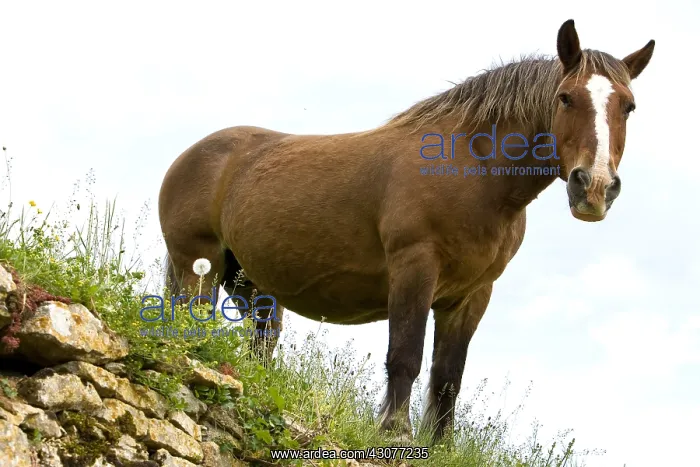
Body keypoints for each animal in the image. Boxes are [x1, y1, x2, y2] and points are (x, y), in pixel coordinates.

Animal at [158, 19, 654, 443]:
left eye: (628, 106)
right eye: (566, 97)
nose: (594, 187)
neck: (472, 168)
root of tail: (192, 156)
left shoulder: (471, 294)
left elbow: (448, 376)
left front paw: (441, 446)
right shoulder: (415, 267)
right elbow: (406, 356)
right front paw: (395, 432)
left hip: (251, 284)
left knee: (262, 344)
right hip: (199, 268)